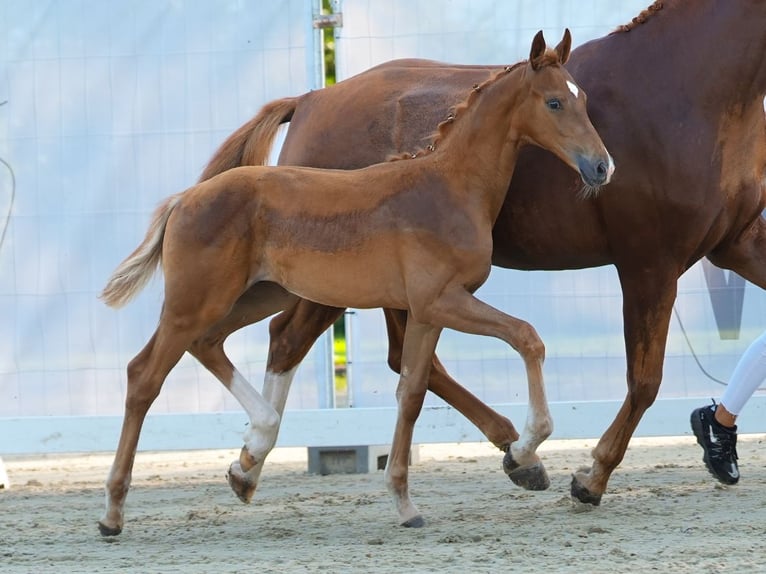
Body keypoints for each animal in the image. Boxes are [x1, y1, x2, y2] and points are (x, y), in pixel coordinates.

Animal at [97, 30, 612, 536]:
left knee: (208, 344)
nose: (602, 166)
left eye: (583, 98)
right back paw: (112, 513)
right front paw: (525, 448)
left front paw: (405, 504)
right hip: (195, 302)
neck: (449, 185)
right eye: (553, 102)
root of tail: (185, 198)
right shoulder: (442, 301)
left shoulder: (425, 313)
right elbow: (527, 337)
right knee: (145, 376)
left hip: (254, 296)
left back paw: (253, 447)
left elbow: (411, 393)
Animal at [195, 0, 766, 510]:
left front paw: (716, 443)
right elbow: (644, 382)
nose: (602, 167)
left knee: (403, 362)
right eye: (556, 104)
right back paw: (252, 460)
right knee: (290, 340)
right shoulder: (650, 262)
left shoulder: (734, 242)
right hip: (337, 282)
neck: (681, 87)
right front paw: (592, 478)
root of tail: (312, 98)